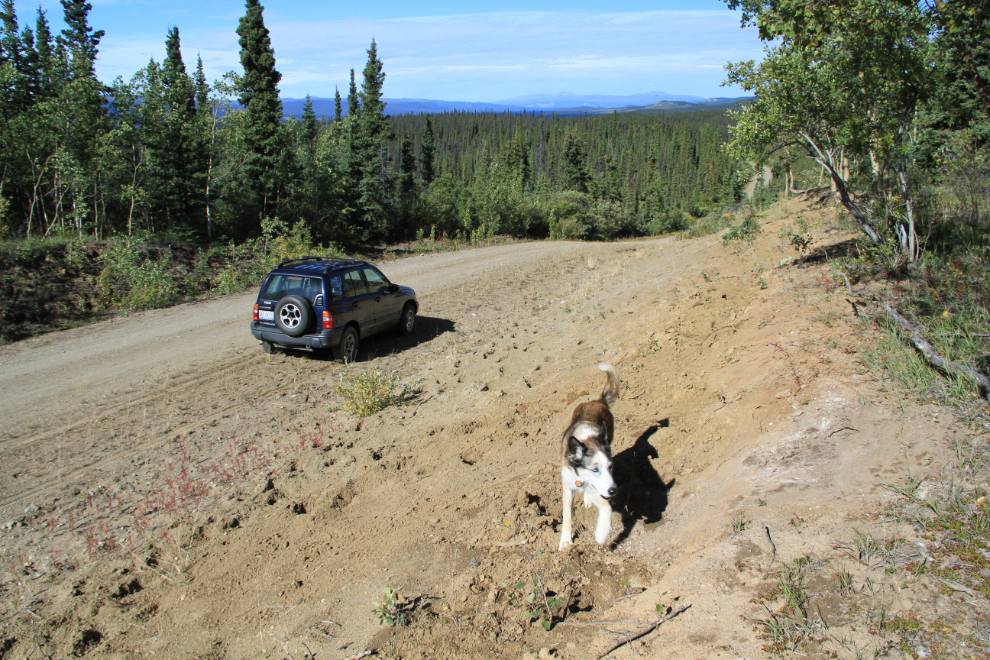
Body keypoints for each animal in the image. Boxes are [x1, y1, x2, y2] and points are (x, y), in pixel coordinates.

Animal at [560, 364, 616, 548]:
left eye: (610, 467)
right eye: (595, 469)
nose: (613, 490)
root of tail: (597, 401)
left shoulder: (597, 488)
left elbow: (606, 506)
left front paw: (601, 533)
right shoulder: (568, 486)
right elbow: (567, 515)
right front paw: (565, 541)